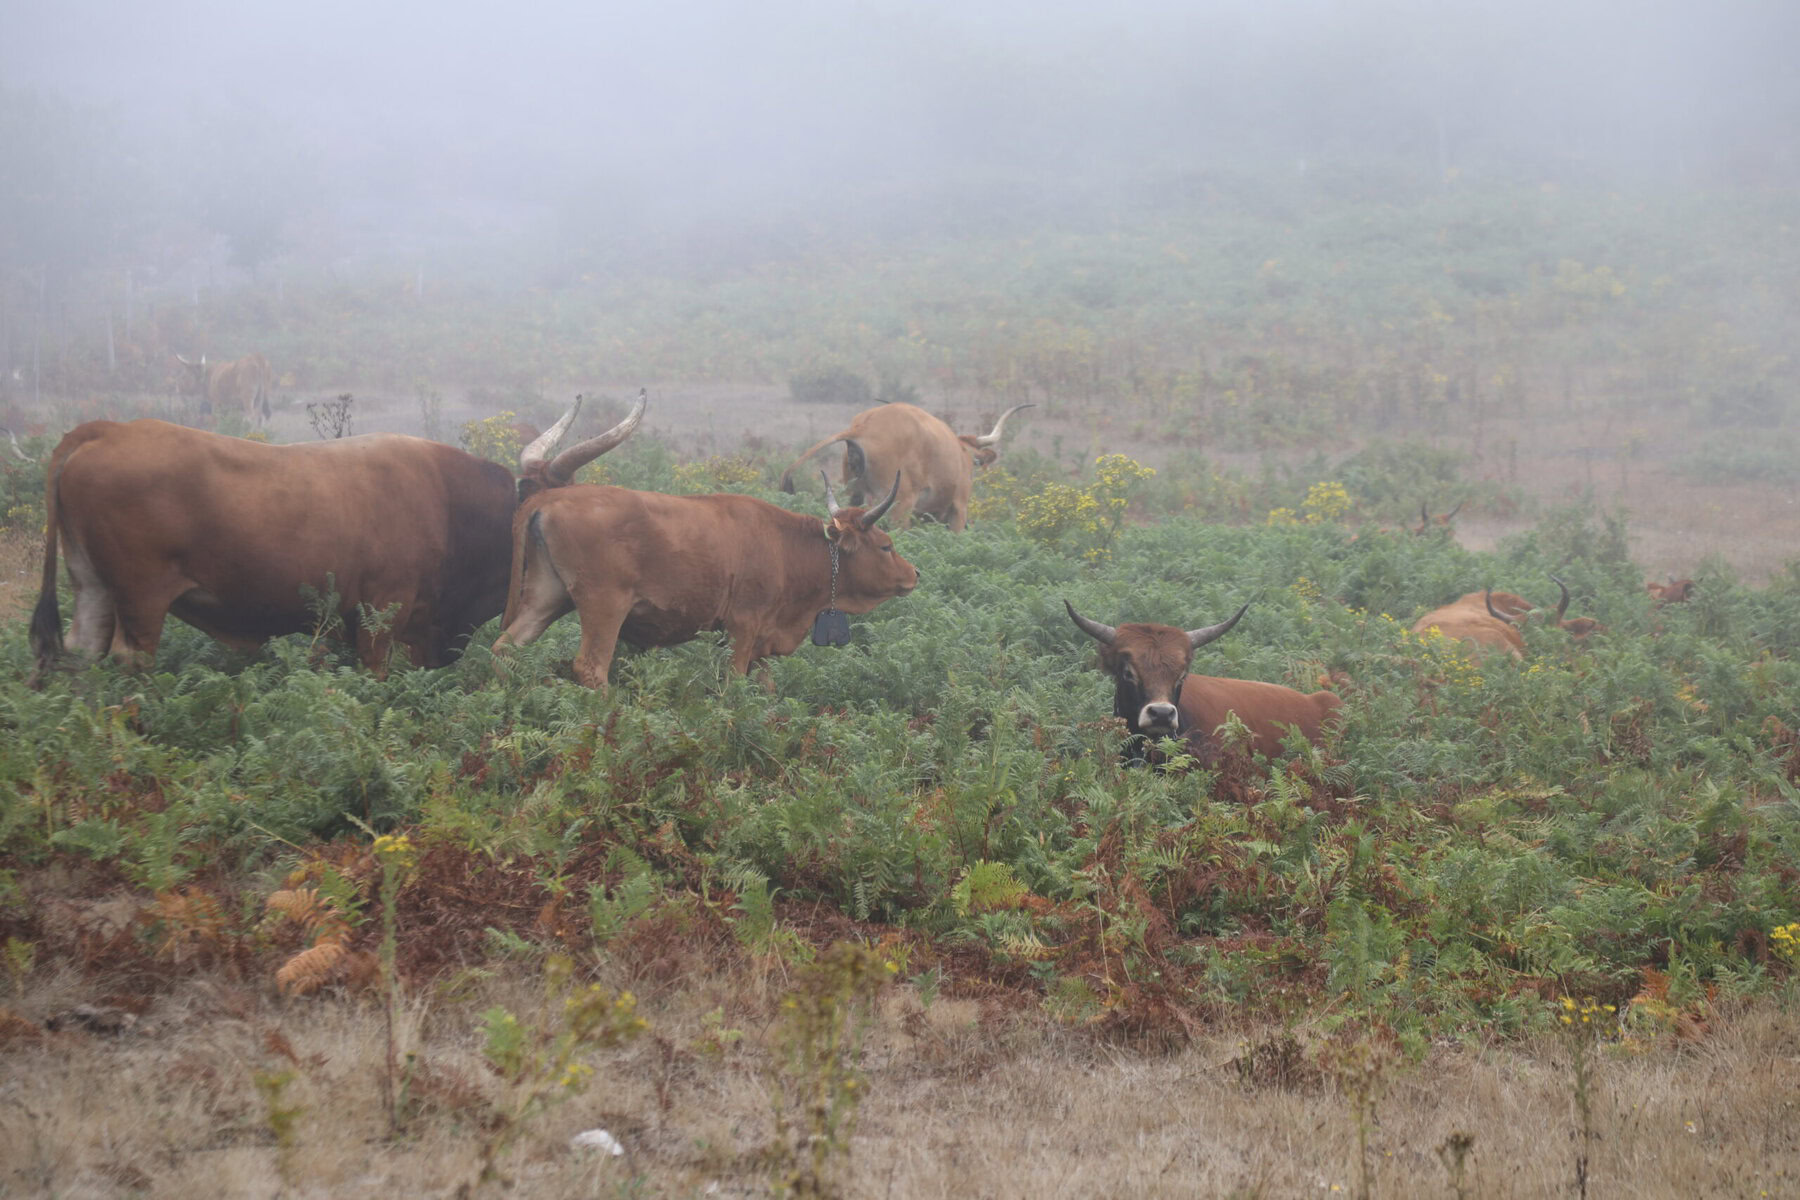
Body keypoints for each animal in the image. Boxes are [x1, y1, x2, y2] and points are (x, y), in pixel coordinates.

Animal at [29, 394, 645, 678]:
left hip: (91, 589)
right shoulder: (379, 619)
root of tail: (106, 431)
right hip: (140, 601)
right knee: (128, 660)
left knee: (82, 653)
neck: (452, 505)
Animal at [493, 472, 918, 689]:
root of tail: (549, 498)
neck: (785, 545)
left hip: (546, 598)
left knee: (505, 648)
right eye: (885, 546)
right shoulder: (743, 627)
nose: (915, 573)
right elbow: (734, 682)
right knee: (590, 667)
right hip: (604, 607)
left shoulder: (758, 639)